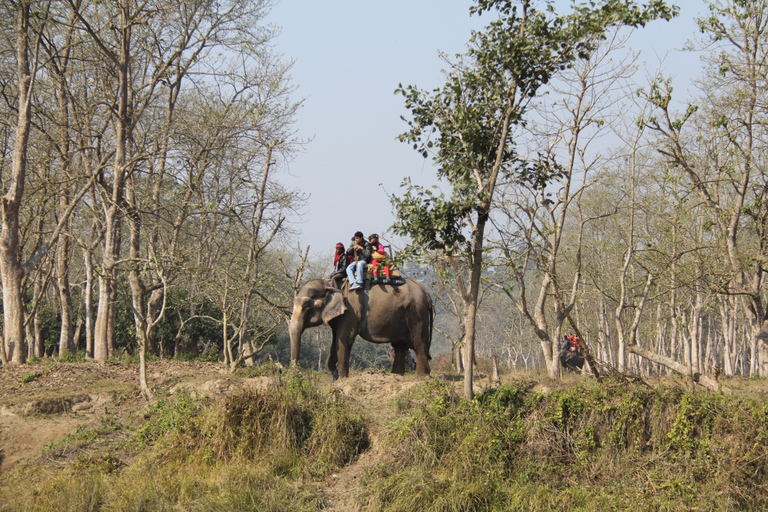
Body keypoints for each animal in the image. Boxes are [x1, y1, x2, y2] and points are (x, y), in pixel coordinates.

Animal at [290, 278, 436, 378]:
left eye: (307, 305)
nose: (296, 372)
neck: (330, 283)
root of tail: (427, 293)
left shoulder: (350, 312)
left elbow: (345, 339)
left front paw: (342, 379)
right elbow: (336, 339)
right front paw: (335, 377)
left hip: (417, 313)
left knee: (419, 343)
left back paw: (421, 377)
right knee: (400, 345)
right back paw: (396, 375)